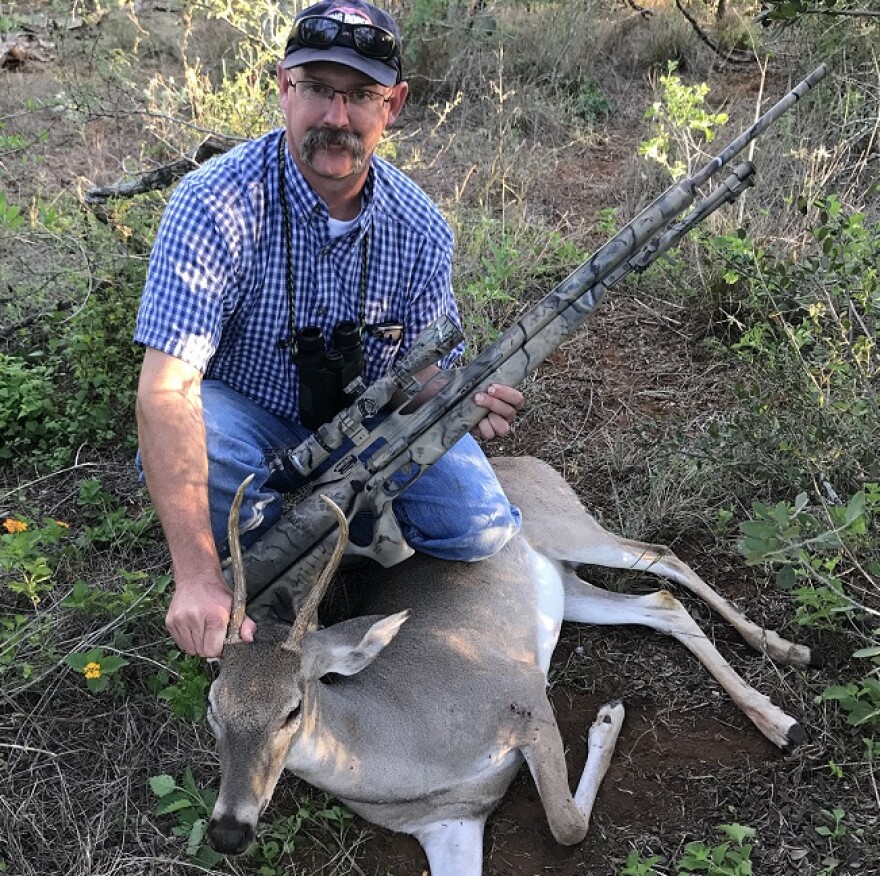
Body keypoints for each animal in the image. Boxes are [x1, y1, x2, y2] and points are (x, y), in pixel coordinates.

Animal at [205, 456, 812, 872]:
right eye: (214, 708)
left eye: (293, 707)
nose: (228, 831)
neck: (406, 747)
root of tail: (523, 460)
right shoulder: (449, 825)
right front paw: (610, 714)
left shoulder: (522, 697)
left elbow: (566, 826)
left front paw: (608, 717)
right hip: (565, 588)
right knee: (660, 605)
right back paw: (776, 705)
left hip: (570, 528)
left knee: (664, 558)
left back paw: (784, 671)